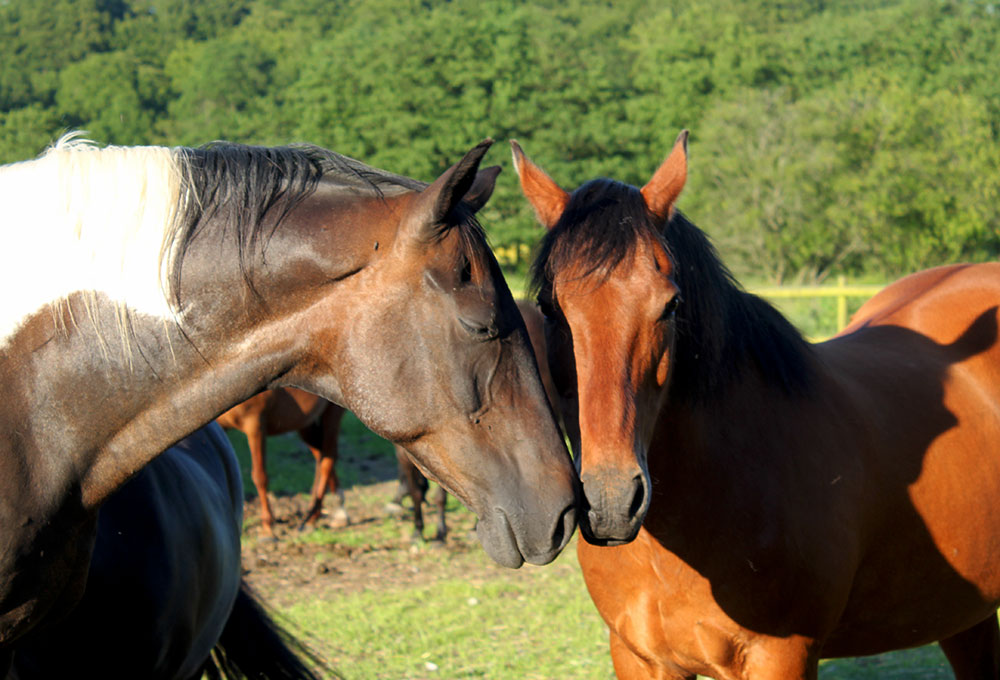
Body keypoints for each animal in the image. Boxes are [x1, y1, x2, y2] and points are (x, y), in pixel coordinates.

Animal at [217, 390, 350, 540]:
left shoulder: (255, 426)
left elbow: (259, 477)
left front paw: (267, 527)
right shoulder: (221, 428)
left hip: (332, 414)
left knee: (328, 460)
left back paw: (320, 515)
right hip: (305, 422)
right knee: (321, 457)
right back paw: (322, 512)